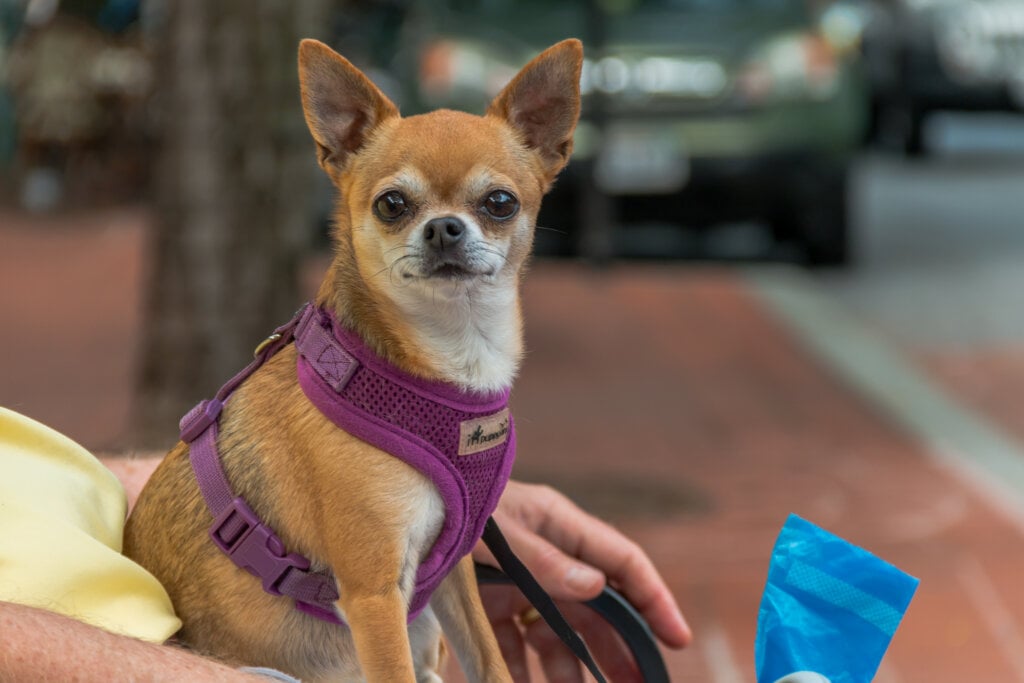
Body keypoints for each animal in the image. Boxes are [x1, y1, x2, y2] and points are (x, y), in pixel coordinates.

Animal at [123, 38, 581, 683]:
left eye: (499, 203)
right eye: (392, 203)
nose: (444, 227)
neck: (456, 362)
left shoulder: (455, 565)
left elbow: (488, 658)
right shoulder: (374, 595)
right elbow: (396, 670)